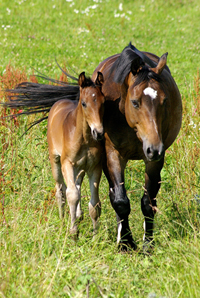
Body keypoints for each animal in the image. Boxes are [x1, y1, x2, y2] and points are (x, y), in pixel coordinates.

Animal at [91, 43, 182, 250]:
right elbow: (120, 201)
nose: (154, 148)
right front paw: (125, 243)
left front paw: (148, 244)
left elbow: (148, 202)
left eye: (164, 100)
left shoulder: (155, 160)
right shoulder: (112, 154)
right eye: (135, 102)